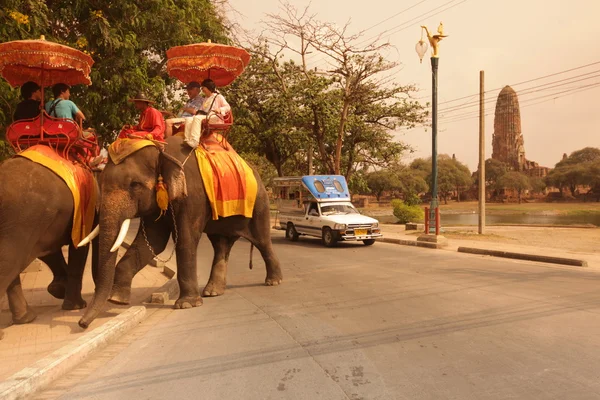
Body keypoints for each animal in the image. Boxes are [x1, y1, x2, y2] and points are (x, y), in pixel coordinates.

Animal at [0, 156, 98, 340]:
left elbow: (48, 251)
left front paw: (57, 290)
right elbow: (79, 246)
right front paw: (75, 305)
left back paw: (26, 318)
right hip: (23, 219)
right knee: (10, 262)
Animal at [78, 135, 282, 328]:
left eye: (134, 184)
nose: (82, 324)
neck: (161, 150)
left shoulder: (192, 195)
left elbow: (186, 239)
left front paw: (186, 305)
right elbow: (153, 241)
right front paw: (117, 300)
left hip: (260, 205)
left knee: (262, 241)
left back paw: (274, 282)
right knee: (221, 245)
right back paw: (212, 292)